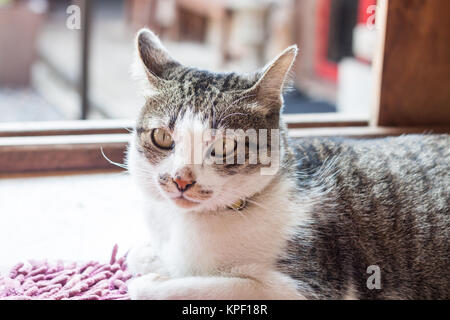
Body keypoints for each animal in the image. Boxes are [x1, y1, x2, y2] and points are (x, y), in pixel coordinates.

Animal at [125, 28, 450, 300]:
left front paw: (149, 282)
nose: (181, 179)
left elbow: (196, 286)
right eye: (162, 137)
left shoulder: (306, 286)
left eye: (224, 146)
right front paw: (150, 258)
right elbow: (145, 257)